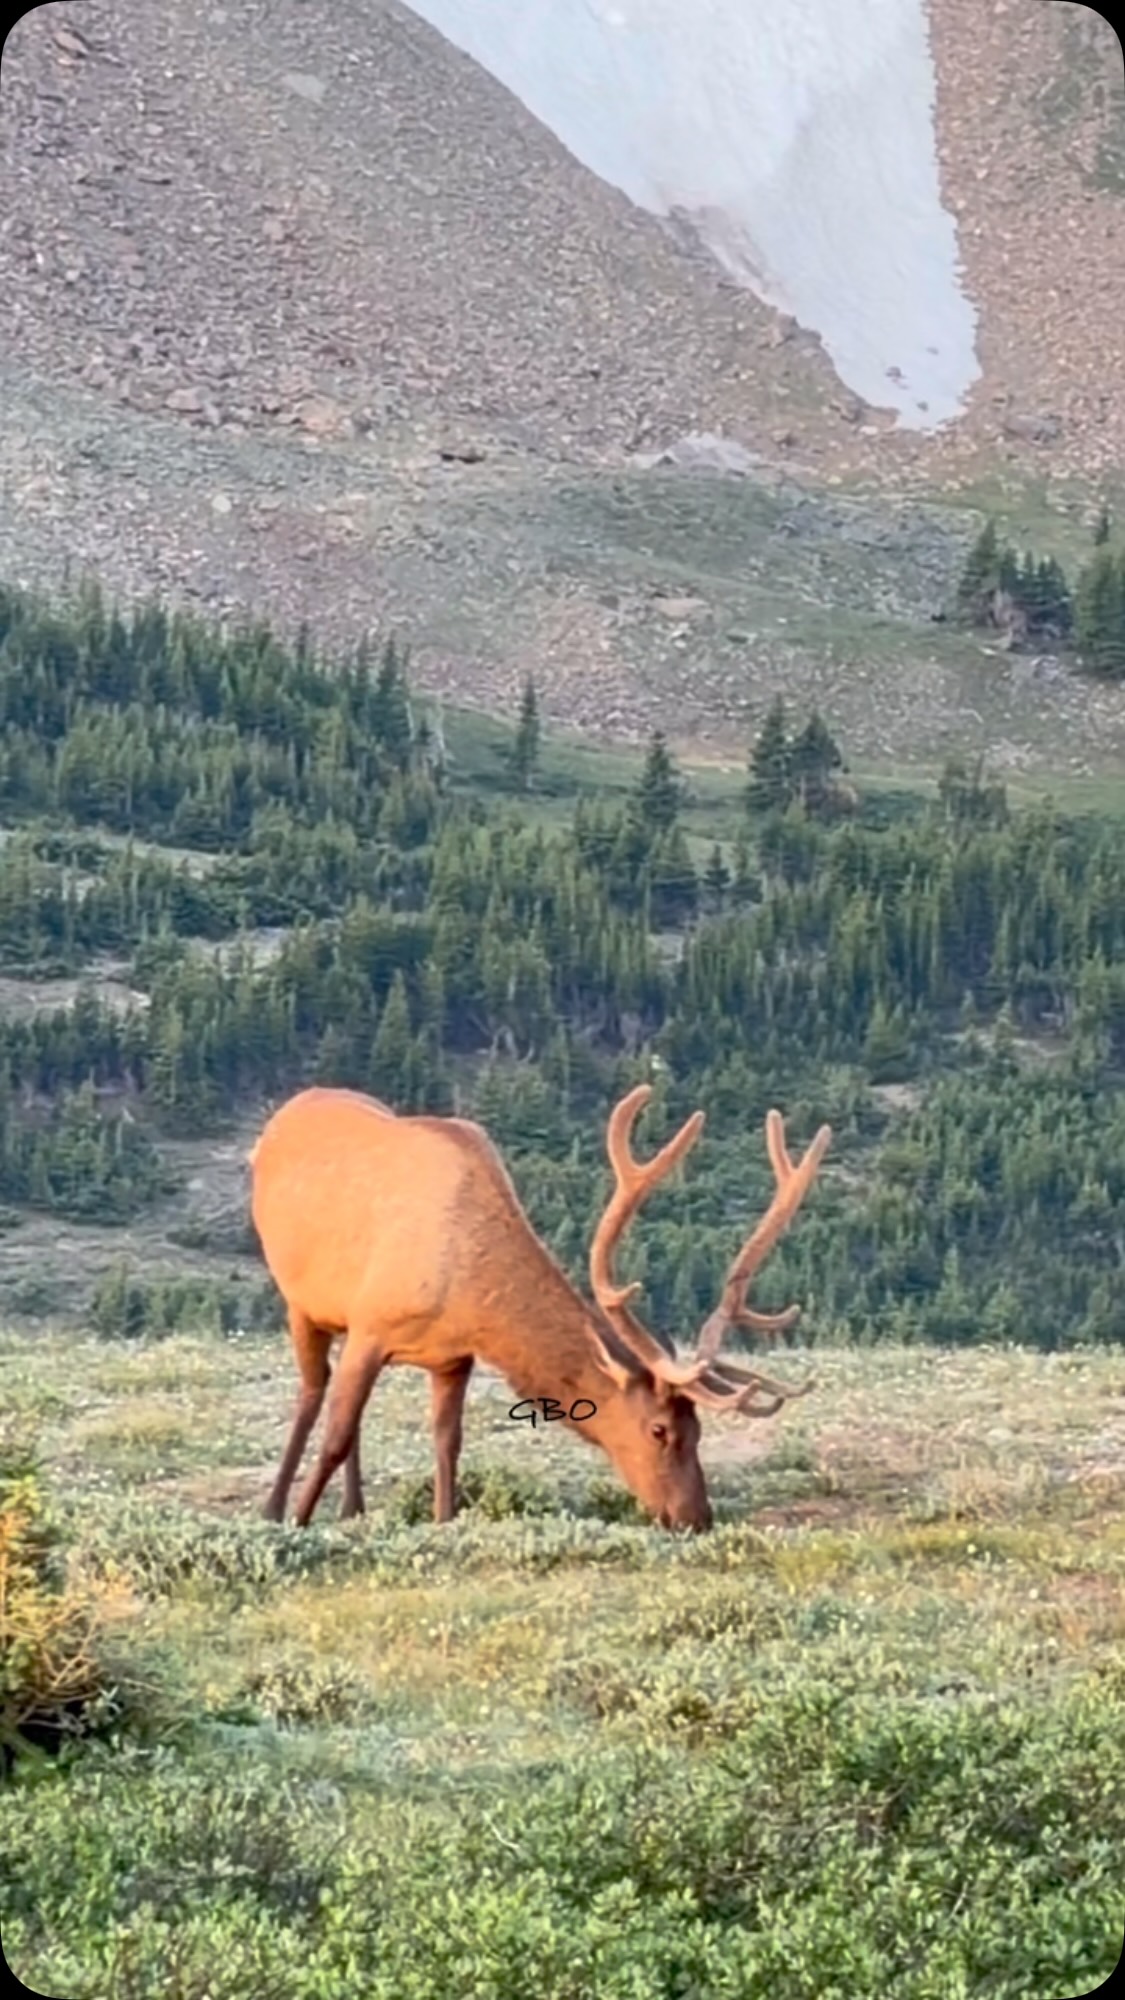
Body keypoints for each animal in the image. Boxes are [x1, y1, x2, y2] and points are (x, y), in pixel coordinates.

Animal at [248, 1083, 831, 1533]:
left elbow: (447, 1443)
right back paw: (274, 1509)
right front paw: (299, 1521)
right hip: (299, 1299)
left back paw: (353, 1509)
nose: (696, 1518)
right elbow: (335, 1437)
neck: (469, 1294)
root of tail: (281, 1116)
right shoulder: (372, 1326)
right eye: (659, 1430)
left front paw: (443, 1521)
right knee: (313, 1392)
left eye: (700, 1431)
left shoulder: (452, 1356)